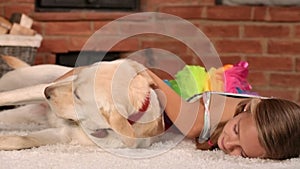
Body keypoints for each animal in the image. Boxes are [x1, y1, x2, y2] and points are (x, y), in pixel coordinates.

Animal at [0, 55, 164, 151]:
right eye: (75, 78)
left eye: (77, 96)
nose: (47, 92)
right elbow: (9, 96)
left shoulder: (64, 135)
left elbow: (23, 139)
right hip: (18, 80)